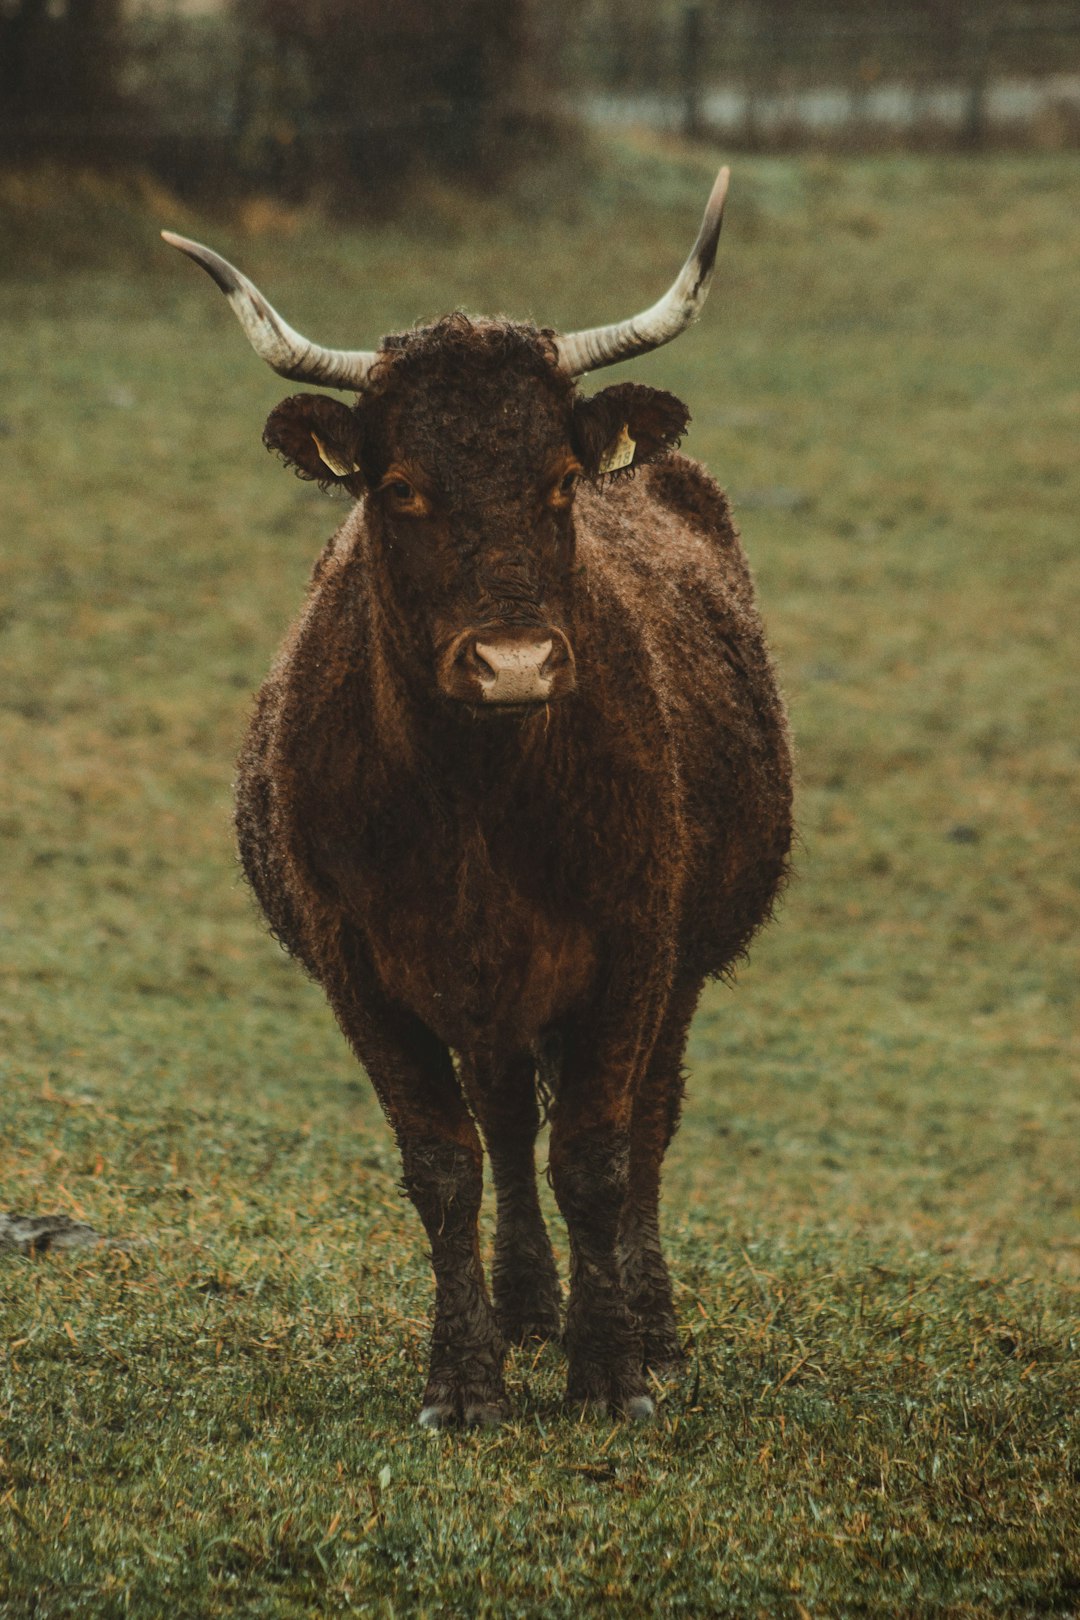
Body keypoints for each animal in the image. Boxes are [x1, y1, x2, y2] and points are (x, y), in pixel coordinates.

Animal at [166, 170, 793, 1425]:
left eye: (557, 483)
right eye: (401, 488)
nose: (512, 663)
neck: (475, 807)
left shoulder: (635, 942)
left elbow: (599, 1156)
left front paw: (612, 1371)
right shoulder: (361, 964)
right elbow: (445, 1163)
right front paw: (464, 1376)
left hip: (677, 966)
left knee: (648, 1121)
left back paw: (649, 1321)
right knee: (504, 1124)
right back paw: (524, 1305)